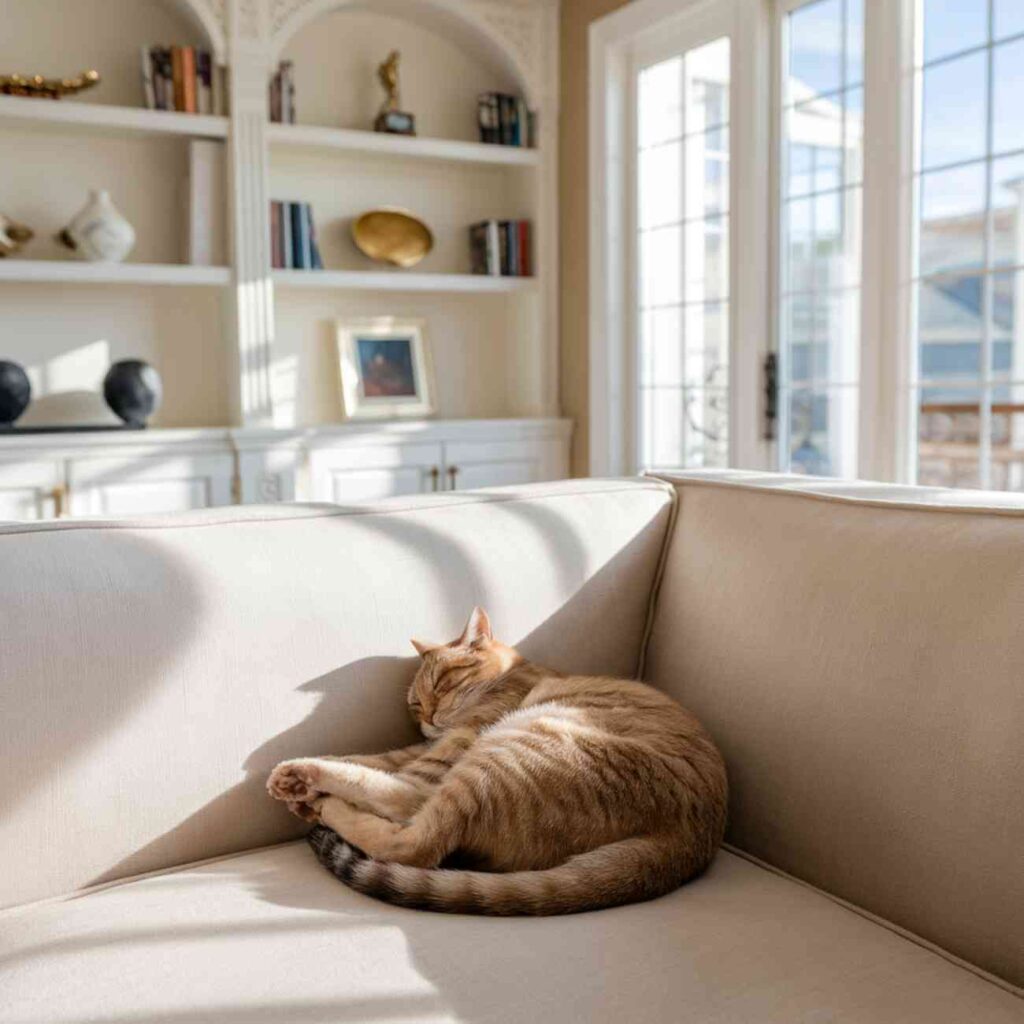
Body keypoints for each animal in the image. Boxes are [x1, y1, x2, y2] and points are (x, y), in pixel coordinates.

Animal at [268, 602, 724, 917]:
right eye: (415, 704)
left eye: (443, 682)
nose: (428, 716)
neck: (509, 676)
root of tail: (686, 838)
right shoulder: (427, 747)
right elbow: (372, 757)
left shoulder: (447, 749)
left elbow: (381, 773)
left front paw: (303, 782)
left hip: (508, 750)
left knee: (413, 834)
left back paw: (318, 795)